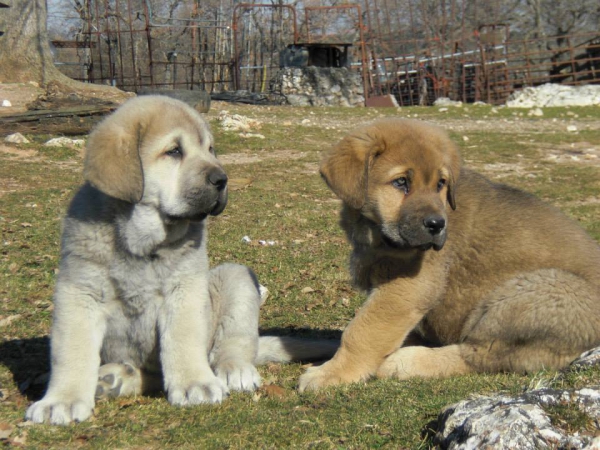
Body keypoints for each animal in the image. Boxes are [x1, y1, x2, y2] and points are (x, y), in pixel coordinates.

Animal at [298, 118, 600, 390]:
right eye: (401, 182)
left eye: (441, 184)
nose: (437, 225)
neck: (376, 233)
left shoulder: (407, 289)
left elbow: (361, 332)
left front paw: (331, 373)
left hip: (537, 291)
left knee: (481, 355)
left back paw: (405, 362)